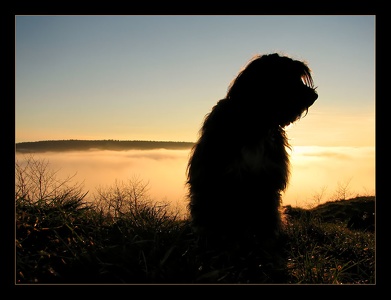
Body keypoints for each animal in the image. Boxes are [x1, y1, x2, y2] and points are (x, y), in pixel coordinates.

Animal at [187, 52, 318, 280]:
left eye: (299, 76)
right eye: (287, 76)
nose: (313, 96)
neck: (255, 124)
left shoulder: (267, 185)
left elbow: (267, 227)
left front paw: (270, 260)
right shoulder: (223, 183)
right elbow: (228, 234)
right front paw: (225, 260)